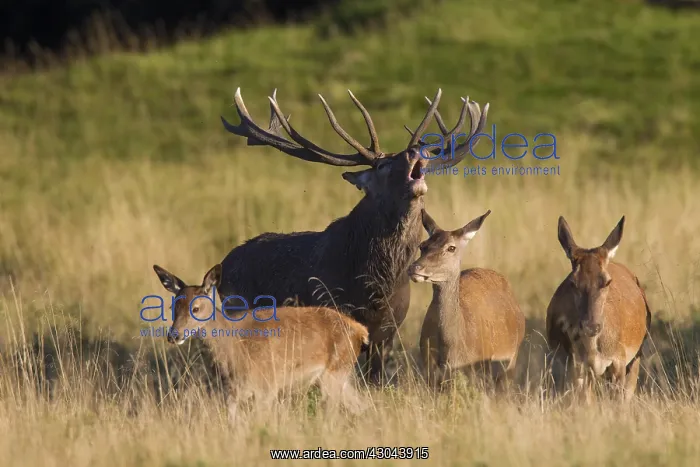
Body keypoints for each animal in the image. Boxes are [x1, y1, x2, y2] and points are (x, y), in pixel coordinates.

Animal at [152, 263, 370, 422]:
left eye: (196, 308)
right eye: (173, 306)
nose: (174, 335)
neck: (235, 352)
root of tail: (361, 331)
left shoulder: (267, 386)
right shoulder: (233, 393)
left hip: (334, 372)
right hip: (339, 375)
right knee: (363, 406)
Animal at [407, 209, 525, 392]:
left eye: (451, 247)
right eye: (422, 245)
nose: (415, 268)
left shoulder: (477, 368)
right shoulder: (428, 367)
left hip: (511, 360)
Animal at [546, 216, 651, 403]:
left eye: (607, 281)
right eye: (572, 282)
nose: (591, 326)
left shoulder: (619, 359)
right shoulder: (575, 363)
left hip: (636, 354)